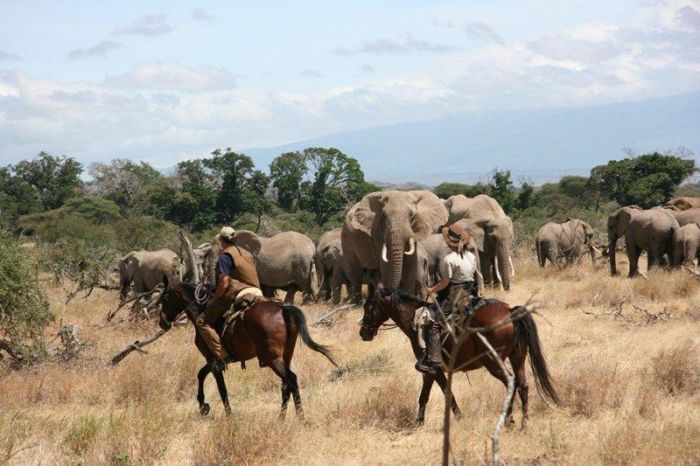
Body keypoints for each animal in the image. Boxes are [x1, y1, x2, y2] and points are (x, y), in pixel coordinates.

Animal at [158, 280, 336, 418]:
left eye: (164, 299)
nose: (162, 322)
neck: (200, 309)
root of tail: (283, 310)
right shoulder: (215, 361)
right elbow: (201, 374)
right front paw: (204, 406)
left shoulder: (214, 360)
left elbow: (220, 388)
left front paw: (223, 413)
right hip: (286, 357)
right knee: (286, 385)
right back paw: (281, 419)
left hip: (272, 359)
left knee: (291, 380)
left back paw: (301, 419)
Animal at [360, 290, 556, 428]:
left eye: (368, 307)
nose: (363, 333)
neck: (416, 321)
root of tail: (510, 312)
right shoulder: (435, 371)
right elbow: (433, 394)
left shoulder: (432, 370)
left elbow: (433, 395)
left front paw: (422, 422)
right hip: (517, 359)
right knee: (523, 386)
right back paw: (524, 423)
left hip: (493, 363)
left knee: (511, 382)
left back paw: (509, 420)